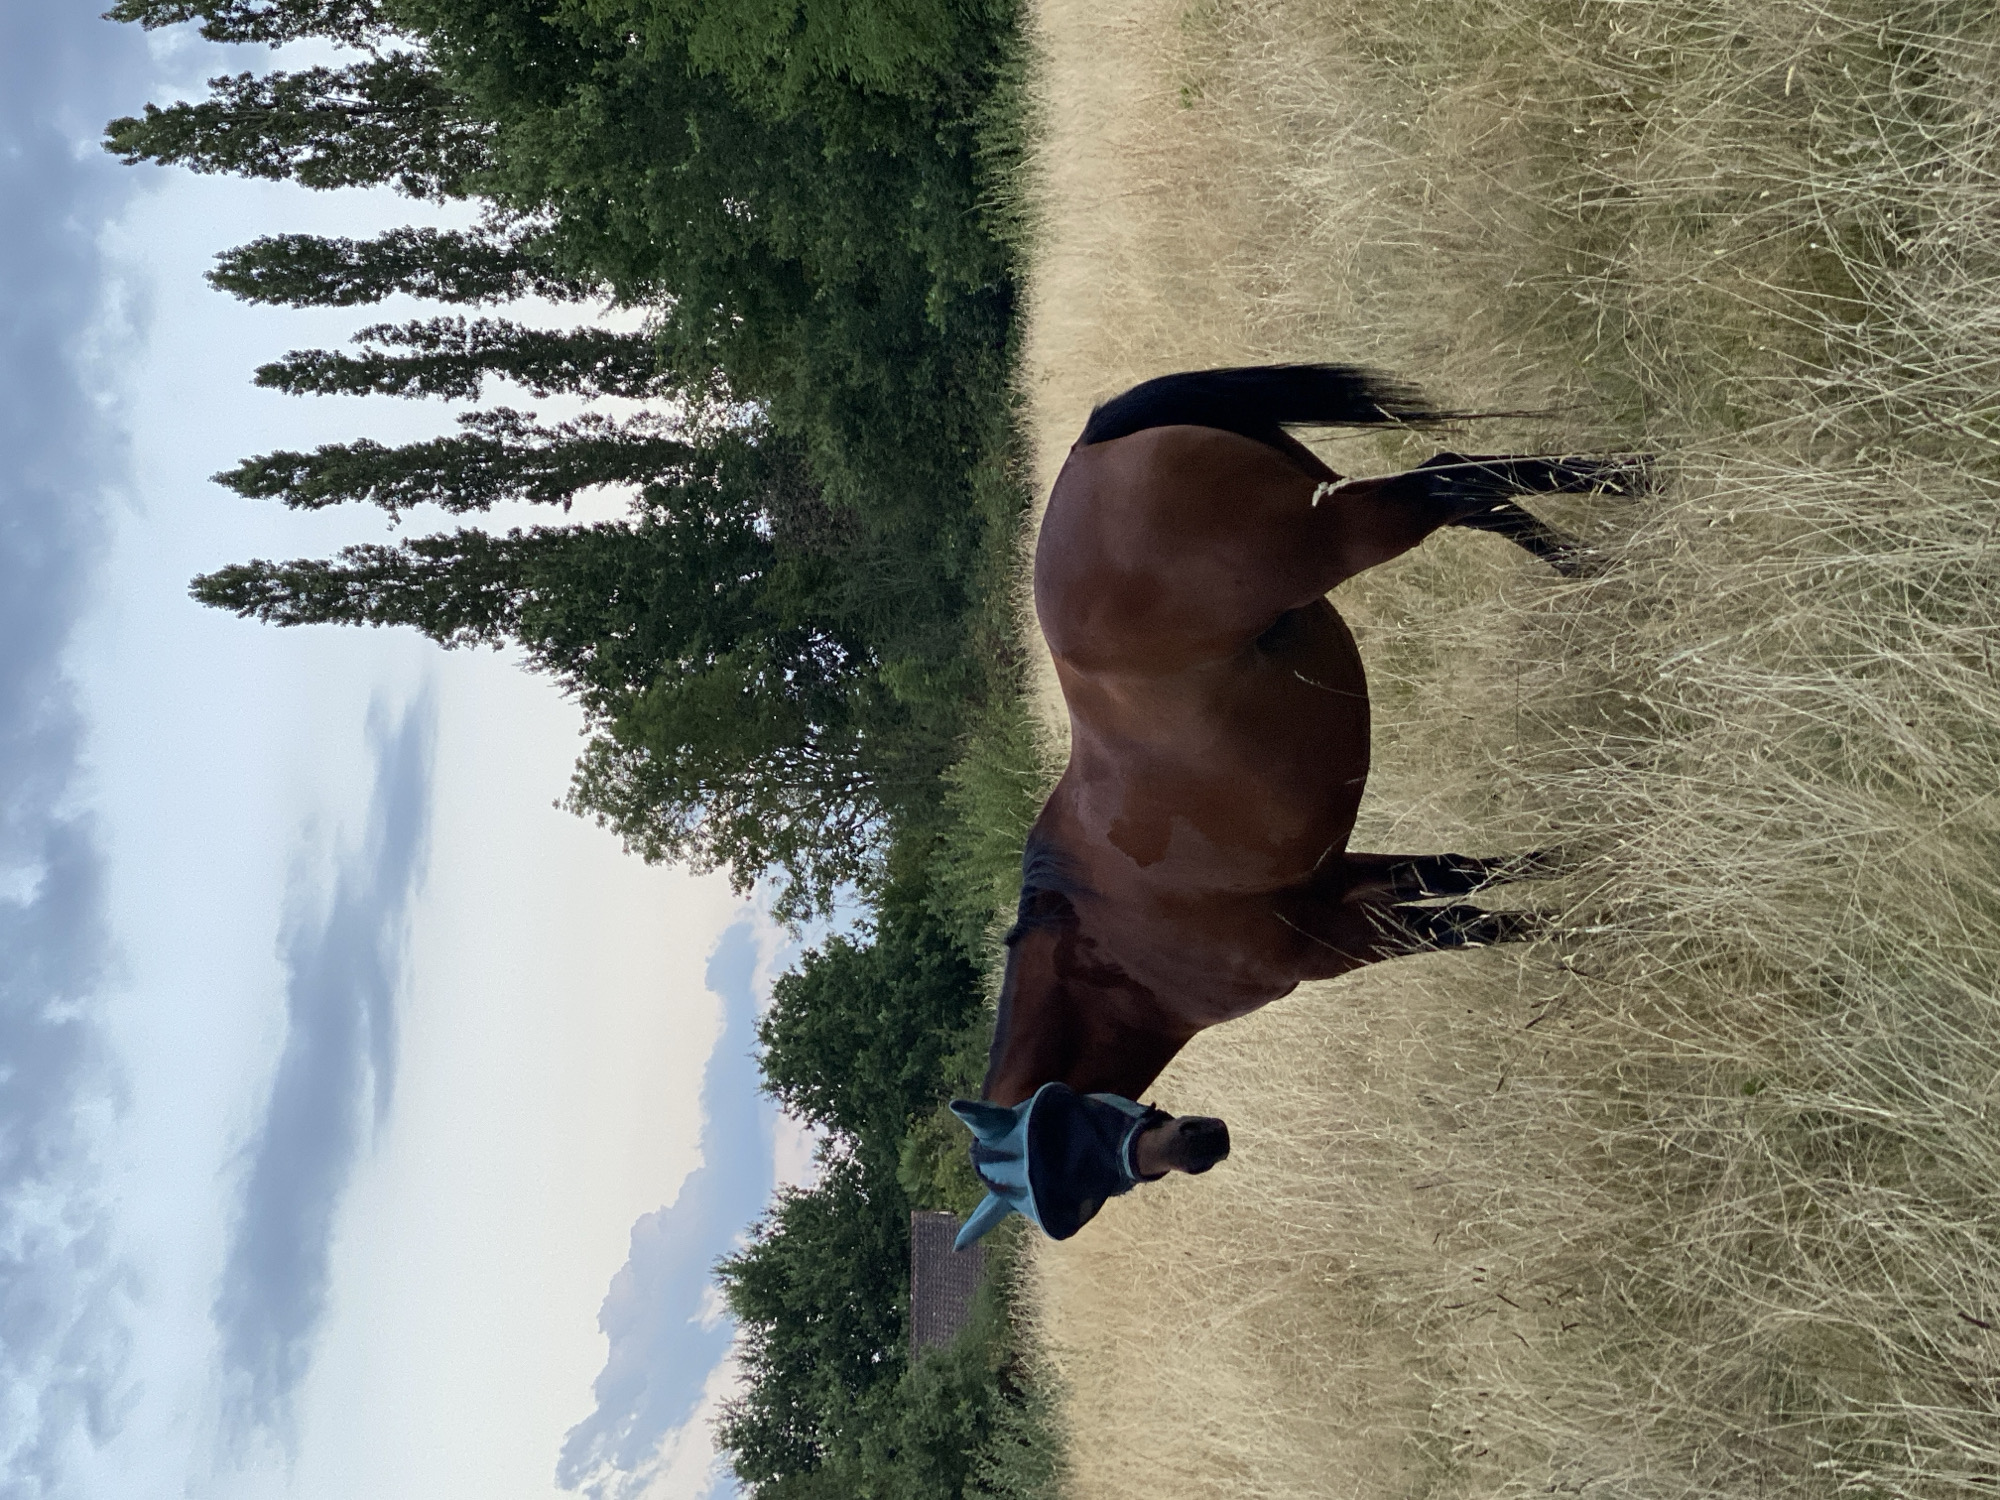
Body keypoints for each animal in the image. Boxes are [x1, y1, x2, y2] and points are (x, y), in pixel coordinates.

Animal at [951, 364, 1634, 1249]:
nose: (1202, 1143)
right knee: (1474, 489)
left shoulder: (1333, 942)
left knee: (1456, 482)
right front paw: (1591, 865)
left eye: (1071, 1155)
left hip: (1348, 529)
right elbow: (1468, 878)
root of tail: (1090, 446)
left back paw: (1632, 499)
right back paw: (1608, 544)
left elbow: (1473, 928)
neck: (1117, 943)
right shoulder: (1342, 882)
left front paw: (1603, 925)